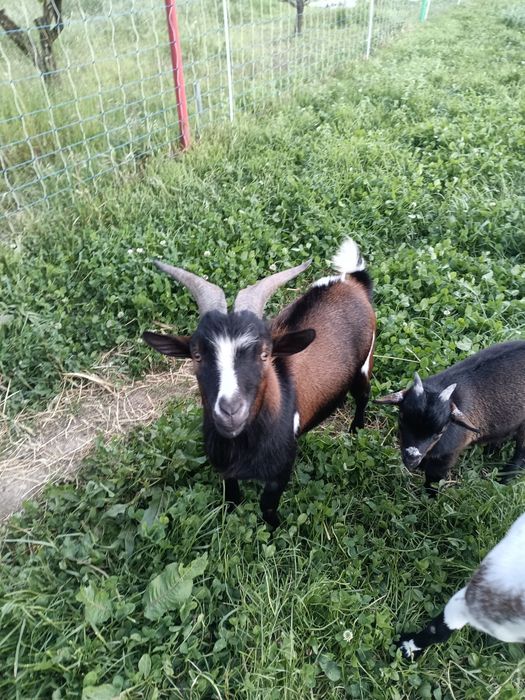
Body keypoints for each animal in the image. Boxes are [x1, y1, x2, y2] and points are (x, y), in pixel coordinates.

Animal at [143, 238, 375, 526]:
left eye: (265, 354)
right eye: (196, 355)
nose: (230, 410)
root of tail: (352, 281)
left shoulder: (280, 472)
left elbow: (267, 506)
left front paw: (275, 529)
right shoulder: (225, 470)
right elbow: (231, 496)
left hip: (364, 364)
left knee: (363, 395)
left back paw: (355, 431)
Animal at [375, 341, 525, 493]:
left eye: (441, 431)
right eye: (401, 418)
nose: (411, 459)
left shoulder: (448, 455)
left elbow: (434, 477)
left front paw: (429, 494)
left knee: (521, 453)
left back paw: (504, 478)